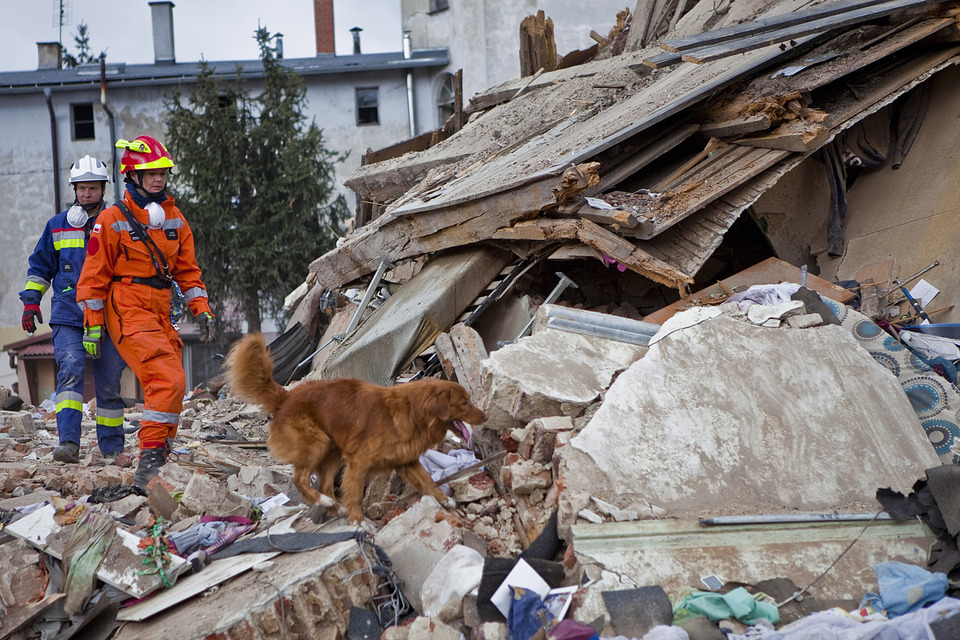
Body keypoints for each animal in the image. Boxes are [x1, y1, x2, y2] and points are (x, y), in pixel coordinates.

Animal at [222, 332, 484, 524]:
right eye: (464, 403)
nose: (484, 416)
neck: (413, 412)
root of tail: (285, 397)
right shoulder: (358, 461)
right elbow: (356, 493)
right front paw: (358, 521)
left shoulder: (406, 460)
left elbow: (428, 481)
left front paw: (444, 500)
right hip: (318, 443)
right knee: (300, 478)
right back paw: (326, 503)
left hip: (333, 451)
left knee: (324, 484)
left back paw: (335, 507)